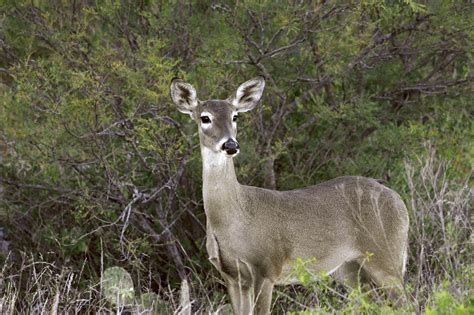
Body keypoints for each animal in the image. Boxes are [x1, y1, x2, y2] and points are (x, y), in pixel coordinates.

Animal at [170, 77, 408, 315]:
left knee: (406, 302)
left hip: (386, 254)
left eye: (235, 116)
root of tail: (398, 200)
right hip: (349, 267)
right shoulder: (232, 276)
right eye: (205, 118)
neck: (234, 219)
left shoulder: (266, 267)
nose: (230, 145)